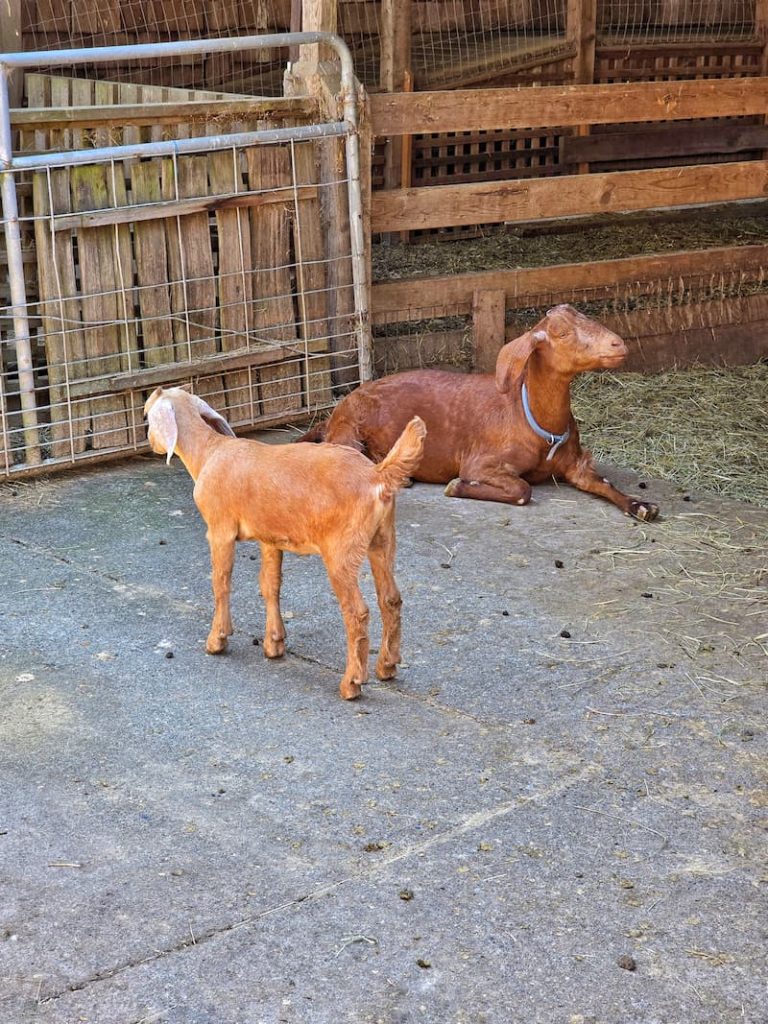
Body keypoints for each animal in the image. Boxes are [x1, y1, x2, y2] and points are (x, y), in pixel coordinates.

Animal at [144, 387, 428, 700]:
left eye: (146, 414)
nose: (151, 443)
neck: (208, 452)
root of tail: (377, 475)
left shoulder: (220, 529)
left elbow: (221, 582)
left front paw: (217, 640)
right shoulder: (270, 538)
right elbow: (270, 585)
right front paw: (274, 644)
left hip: (342, 549)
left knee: (357, 611)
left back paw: (352, 682)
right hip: (382, 537)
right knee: (390, 598)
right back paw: (387, 667)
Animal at [307, 305, 663, 524]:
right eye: (561, 333)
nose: (618, 344)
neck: (532, 419)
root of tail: (331, 417)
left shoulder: (575, 464)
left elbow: (602, 481)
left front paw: (641, 505)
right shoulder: (481, 462)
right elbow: (522, 490)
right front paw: (457, 486)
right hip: (349, 433)